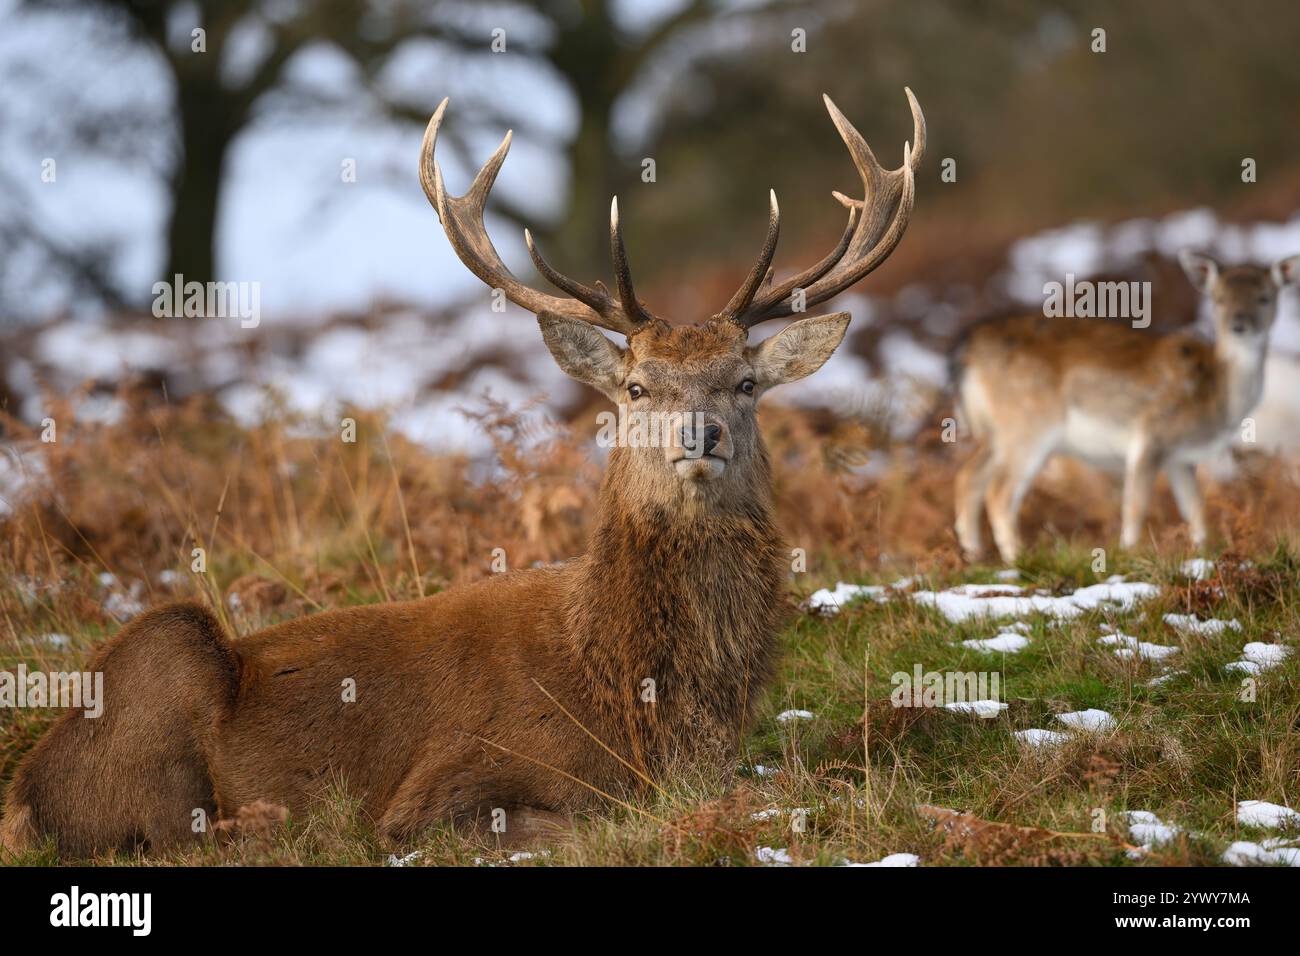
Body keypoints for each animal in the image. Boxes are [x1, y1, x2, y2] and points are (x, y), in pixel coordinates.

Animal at [0, 90, 923, 857]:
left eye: (744, 382)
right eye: (636, 386)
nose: (700, 433)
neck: (637, 702)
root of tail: (27, 786)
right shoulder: (448, 784)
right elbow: (585, 820)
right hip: (168, 654)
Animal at [952, 249, 1299, 564]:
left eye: (1265, 297)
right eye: (1219, 299)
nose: (1239, 326)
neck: (1215, 400)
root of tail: (969, 349)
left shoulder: (1180, 458)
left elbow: (1195, 507)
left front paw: (1204, 551)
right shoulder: (1150, 435)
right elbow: (1136, 503)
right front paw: (1130, 553)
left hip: (997, 431)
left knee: (969, 476)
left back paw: (974, 554)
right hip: (1030, 423)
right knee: (999, 492)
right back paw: (1017, 559)